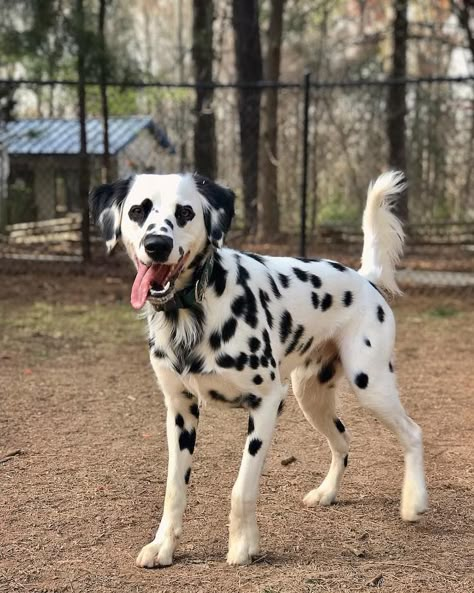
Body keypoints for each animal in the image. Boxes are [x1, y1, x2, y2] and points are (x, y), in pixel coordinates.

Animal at [90, 170, 430, 564]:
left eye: (185, 212)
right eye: (138, 211)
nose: (157, 244)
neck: (196, 312)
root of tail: (365, 278)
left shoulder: (267, 402)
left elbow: (243, 487)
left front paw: (242, 545)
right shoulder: (180, 412)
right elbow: (174, 488)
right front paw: (163, 546)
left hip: (370, 384)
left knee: (412, 432)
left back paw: (414, 501)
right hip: (311, 395)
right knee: (342, 441)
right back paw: (327, 492)